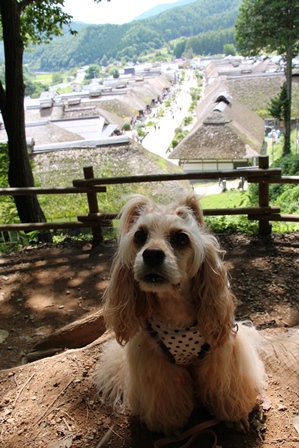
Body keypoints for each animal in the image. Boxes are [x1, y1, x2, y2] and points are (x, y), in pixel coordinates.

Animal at [94, 194, 268, 436]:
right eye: (140, 235)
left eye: (181, 238)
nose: (152, 254)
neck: (174, 308)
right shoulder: (157, 364)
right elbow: (167, 399)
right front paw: (171, 428)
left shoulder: (221, 355)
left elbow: (226, 389)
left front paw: (235, 418)